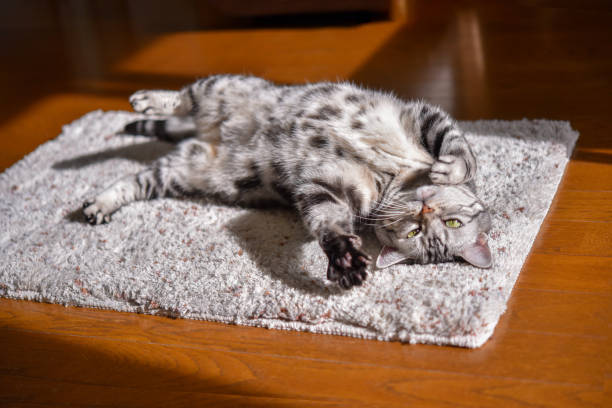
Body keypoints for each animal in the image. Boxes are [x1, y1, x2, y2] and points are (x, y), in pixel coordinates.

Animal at [82, 74, 492, 290]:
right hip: (225, 89)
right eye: (452, 222)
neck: (398, 178)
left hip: (183, 172)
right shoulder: (421, 117)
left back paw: (98, 204)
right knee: (183, 98)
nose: (423, 210)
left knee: (136, 179)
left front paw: (343, 259)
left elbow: (327, 225)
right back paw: (146, 100)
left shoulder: (323, 189)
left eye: (417, 234)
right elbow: (459, 148)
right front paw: (451, 169)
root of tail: (209, 132)